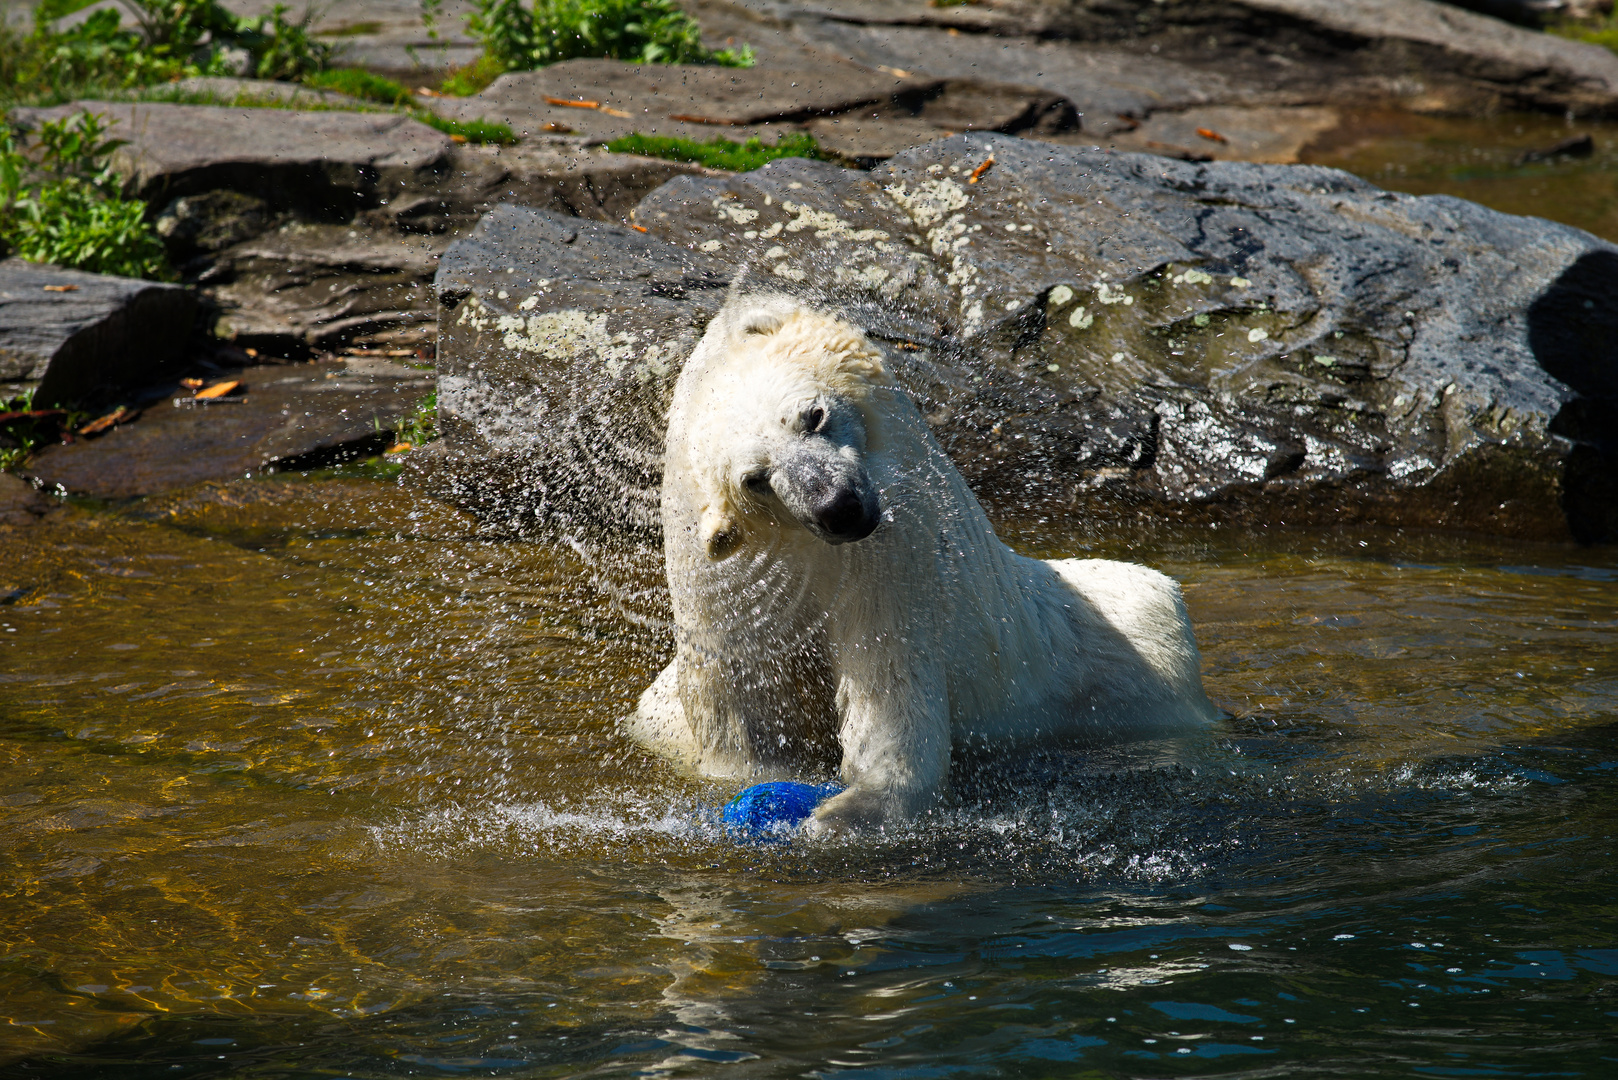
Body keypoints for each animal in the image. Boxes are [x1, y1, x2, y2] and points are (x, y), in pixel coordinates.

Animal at [627, 296, 1216, 835]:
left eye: (813, 414)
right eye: (755, 478)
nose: (838, 507)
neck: (803, 552)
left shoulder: (894, 551)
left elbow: (889, 681)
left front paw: (842, 811)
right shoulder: (722, 589)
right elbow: (744, 708)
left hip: (1119, 661)